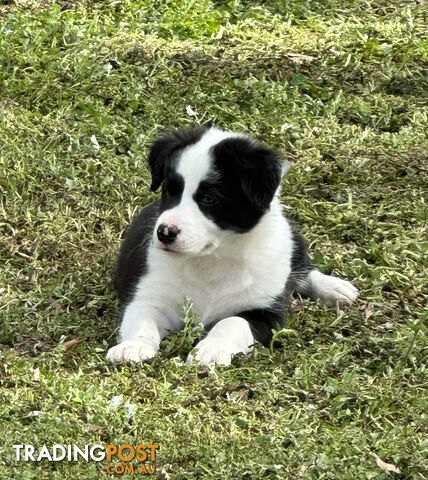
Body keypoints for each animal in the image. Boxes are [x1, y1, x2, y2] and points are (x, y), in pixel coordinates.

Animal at [107, 125, 358, 366]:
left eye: (209, 198)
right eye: (169, 191)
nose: (165, 233)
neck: (212, 259)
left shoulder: (265, 310)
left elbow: (232, 322)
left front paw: (211, 350)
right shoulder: (151, 295)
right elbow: (142, 320)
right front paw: (133, 347)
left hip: (291, 240)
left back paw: (334, 287)